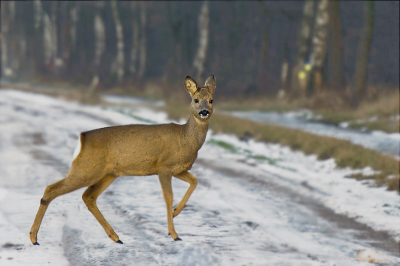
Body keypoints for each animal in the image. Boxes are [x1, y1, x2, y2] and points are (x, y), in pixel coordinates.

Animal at [30, 74, 217, 244]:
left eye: (211, 100)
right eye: (195, 100)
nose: (204, 112)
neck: (186, 139)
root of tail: (82, 139)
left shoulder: (178, 169)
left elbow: (194, 181)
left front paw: (176, 211)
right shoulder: (163, 166)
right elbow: (168, 196)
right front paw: (174, 233)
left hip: (108, 173)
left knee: (88, 196)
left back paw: (116, 237)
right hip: (87, 169)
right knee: (51, 189)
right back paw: (33, 238)